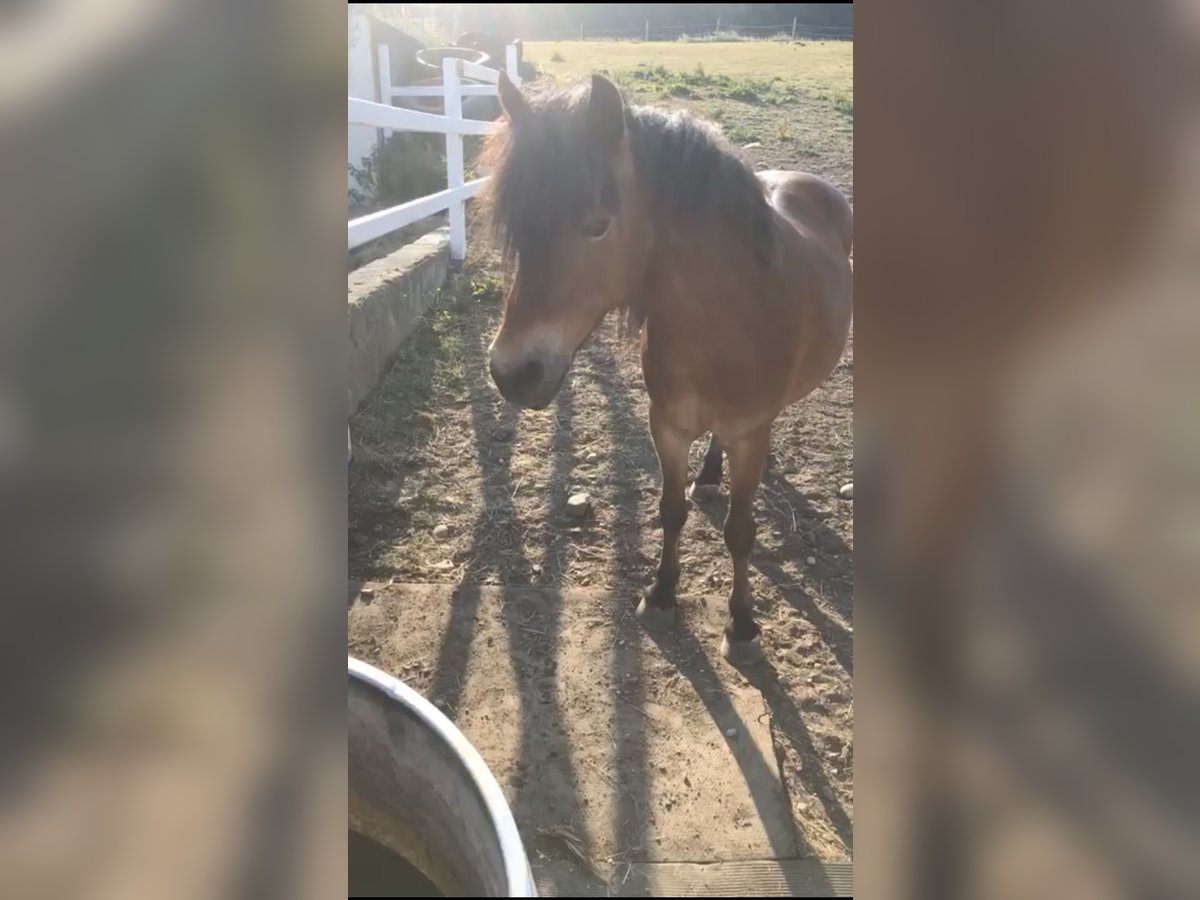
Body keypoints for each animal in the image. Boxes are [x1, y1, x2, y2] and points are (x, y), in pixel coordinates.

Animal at [482, 74, 849, 667]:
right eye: (519, 227)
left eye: (598, 225)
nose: (512, 372)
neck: (725, 317)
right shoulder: (668, 426)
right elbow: (672, 510)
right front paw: (660, 595)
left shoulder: (749, 433)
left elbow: (740, 531)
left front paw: (742, 625)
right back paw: (711, 476)